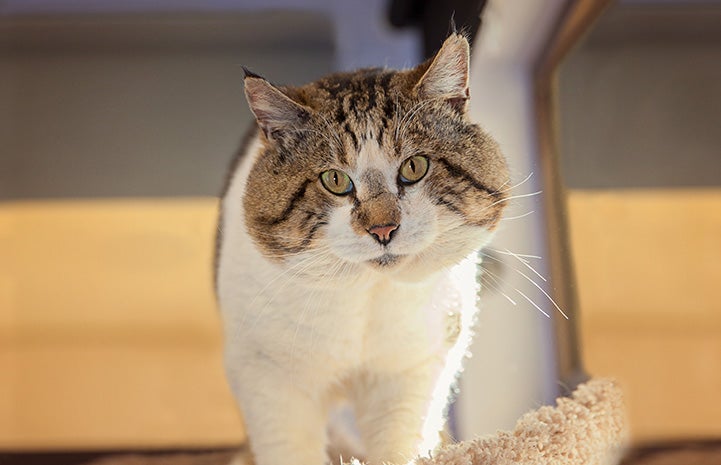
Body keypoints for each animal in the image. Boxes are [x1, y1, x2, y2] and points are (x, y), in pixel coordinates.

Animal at [217, 33, 510, 464]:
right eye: (335, 180)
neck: (364, 299)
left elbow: (401, 446)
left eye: (414, 167)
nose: (382, 228)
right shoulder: (268, 380)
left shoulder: (412, 374)